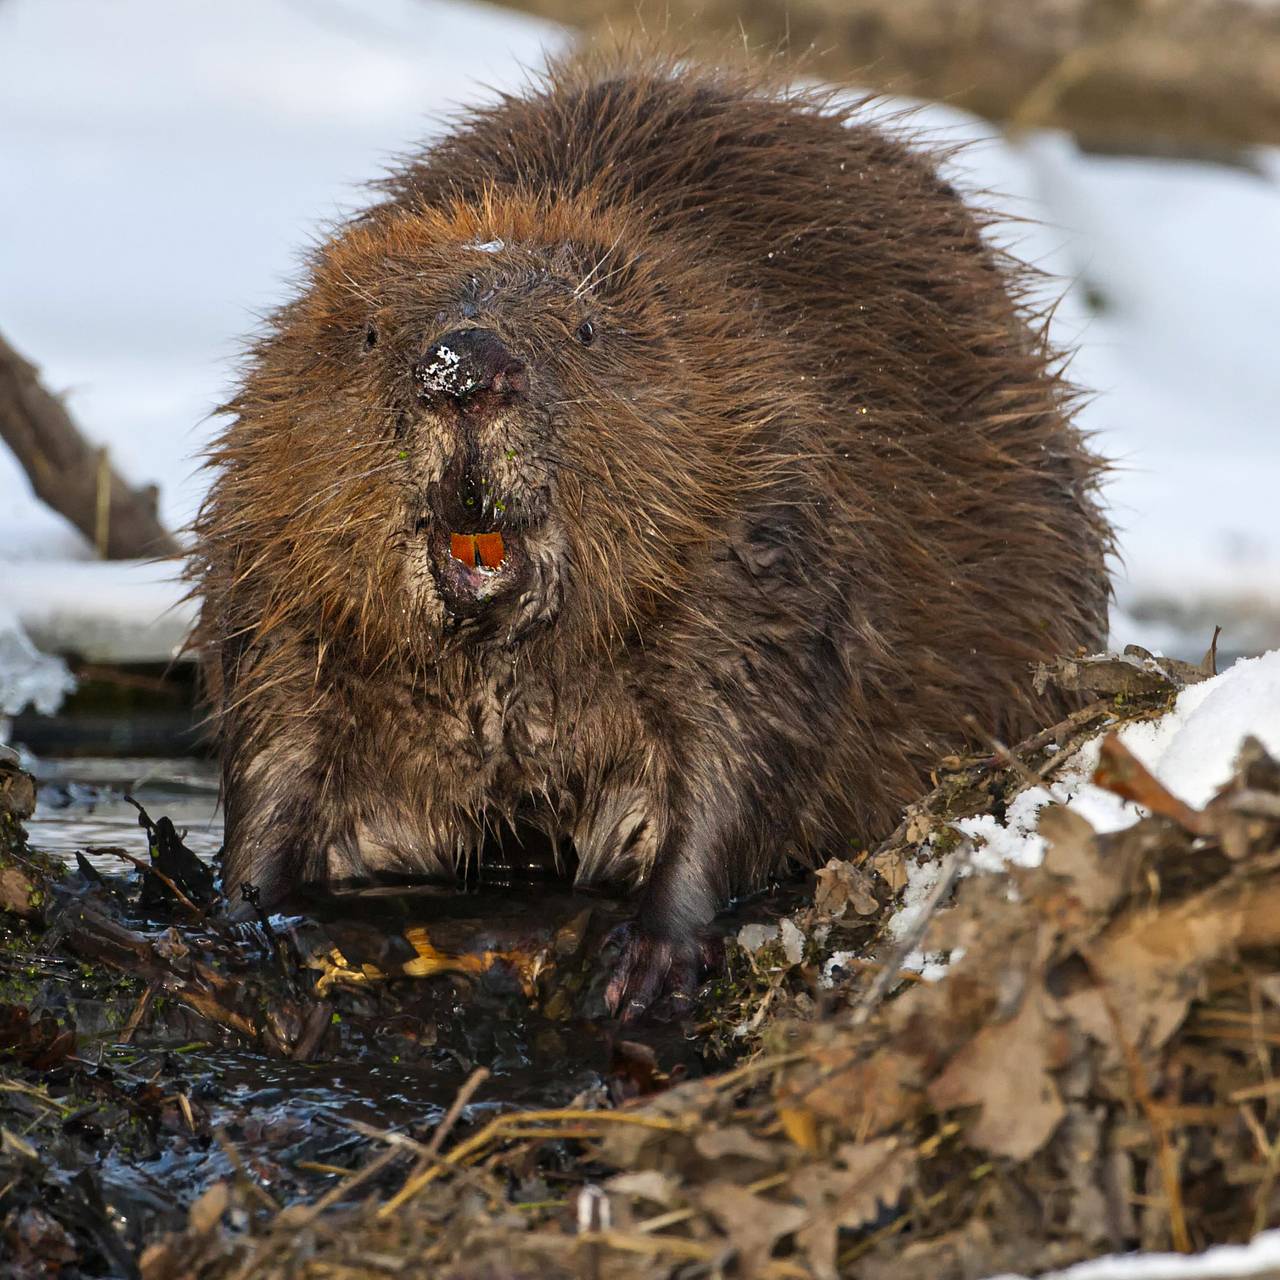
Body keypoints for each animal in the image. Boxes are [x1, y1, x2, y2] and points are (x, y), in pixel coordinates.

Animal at [192, 47, 1111, 1008]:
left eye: (585, 328)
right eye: (370, 333)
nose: (464, 367)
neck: (501, 667)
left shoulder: (754, 528)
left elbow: (742, 739)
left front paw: (647, 959)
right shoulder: (272, 544)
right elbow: (276, 733)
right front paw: (249, 914)